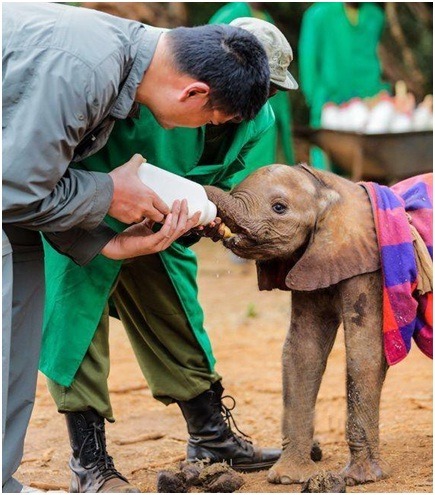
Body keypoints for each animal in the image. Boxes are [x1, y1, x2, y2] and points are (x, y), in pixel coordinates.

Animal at [207, 165, 432, 486]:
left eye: (279, 208)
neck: (330, 191)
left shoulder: (369, 263)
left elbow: (364, 351)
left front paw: (361, 479)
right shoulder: (311, 260)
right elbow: (303, 351)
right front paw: (288, 479)